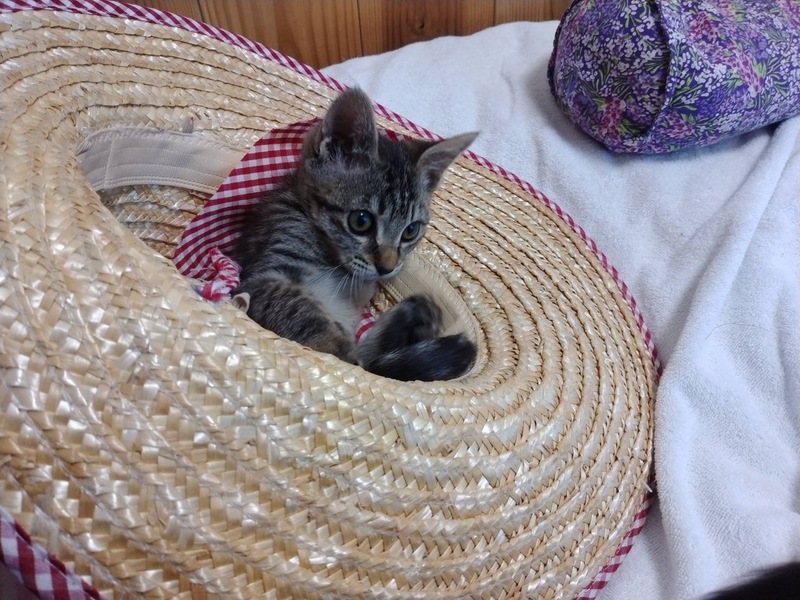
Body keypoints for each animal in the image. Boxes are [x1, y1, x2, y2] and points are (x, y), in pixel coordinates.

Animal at [233, 88, 478, 381]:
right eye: (360, 221)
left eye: (410, 231)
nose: (387, 267)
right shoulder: (259, 278)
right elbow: (334, 344)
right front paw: (343, 352)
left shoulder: (358, 293)